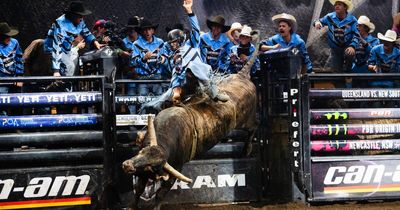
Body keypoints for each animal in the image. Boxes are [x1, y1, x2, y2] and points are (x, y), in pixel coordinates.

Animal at [122, 34, 260, 208]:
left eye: (150, 166)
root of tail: (242, 77)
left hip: (246, 120)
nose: (127, 165)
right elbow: (138, 190)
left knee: (254, 127)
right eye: (142, 152)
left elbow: (160, 194)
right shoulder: (141, 173)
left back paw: (247, 149)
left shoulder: (174, 171)